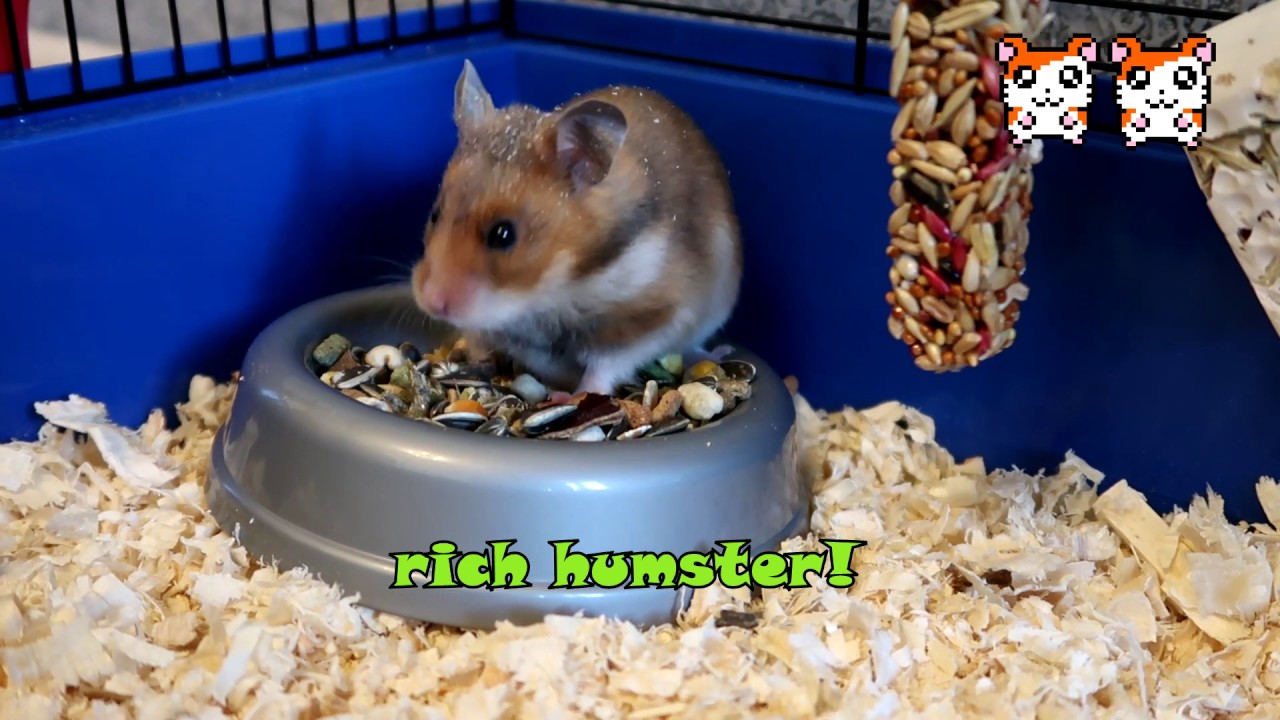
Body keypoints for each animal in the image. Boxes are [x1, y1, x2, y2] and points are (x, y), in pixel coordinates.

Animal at [410, 59, 743, 397]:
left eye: (503, 234)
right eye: (435, 214)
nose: (432, 303)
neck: (559, 283)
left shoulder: (651, 314)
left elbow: (606, 363)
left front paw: (571, 395)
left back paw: (719, 354)